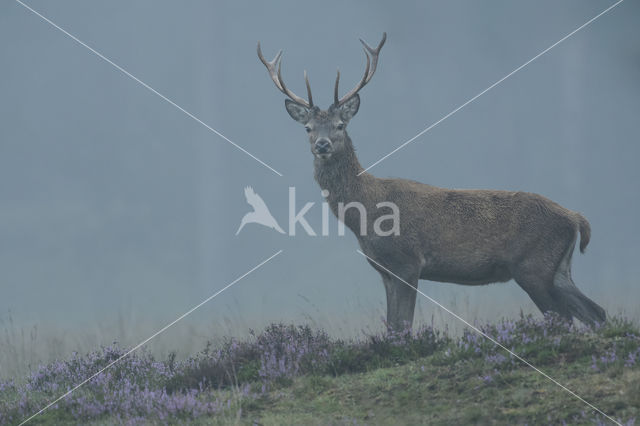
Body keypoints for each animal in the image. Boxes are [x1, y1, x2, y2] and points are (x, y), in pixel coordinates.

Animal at [256, 33, 604, 332]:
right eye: (308, 128)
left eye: (341, 125)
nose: (323, 144)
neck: (366, 214)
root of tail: (576, 218)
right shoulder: (385, 270)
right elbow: (391, 325)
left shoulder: (408, 261)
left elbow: (404, 325)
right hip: (557, 268)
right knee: (594, 312)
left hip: (532, 266)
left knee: (565, 317)